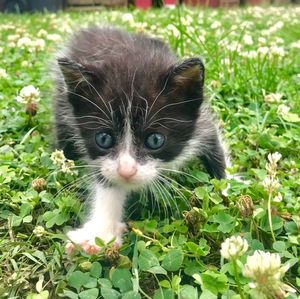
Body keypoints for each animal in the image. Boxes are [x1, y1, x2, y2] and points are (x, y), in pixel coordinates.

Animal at [54, 26, 227, 255]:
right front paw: (101, 231)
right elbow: (106, 178)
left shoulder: (203, 122)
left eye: (155, 140)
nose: (127, 171)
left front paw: (229, 186)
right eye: (103, 138)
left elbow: (217, 150)